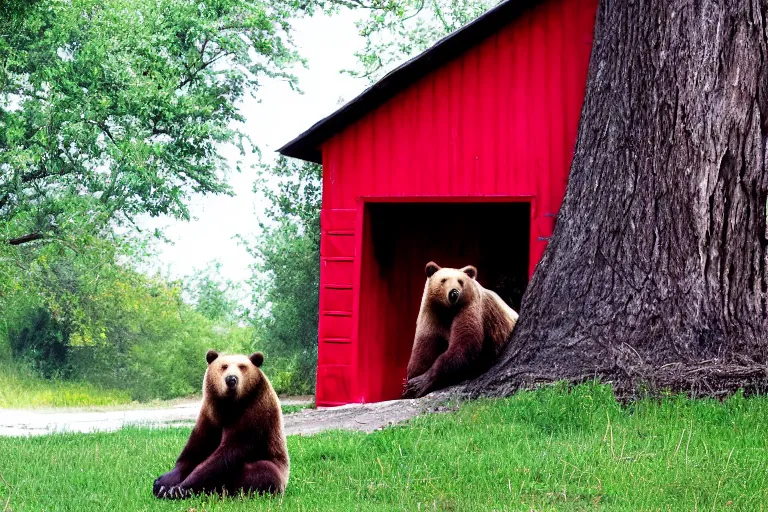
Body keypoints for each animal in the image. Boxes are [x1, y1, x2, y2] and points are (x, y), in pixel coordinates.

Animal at [153, 350, 288, 498]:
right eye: (224, 366)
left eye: (242, 366)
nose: (231, 379)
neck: (229, 406)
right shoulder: (209, 416)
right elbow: (195, 450)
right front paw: (161, 483)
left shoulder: (255, 413)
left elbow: (228, 452)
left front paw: (179, 488)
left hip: (276, 466)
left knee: (263, 471)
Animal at [402, 264, 520, 400]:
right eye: (443, 280)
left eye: (460, 281)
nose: (453, 293)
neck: (448, 312)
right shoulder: (431, 316)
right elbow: (423, 351)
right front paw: (409, 386)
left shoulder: (470, 309)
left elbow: (463, 346)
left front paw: (418, 384)